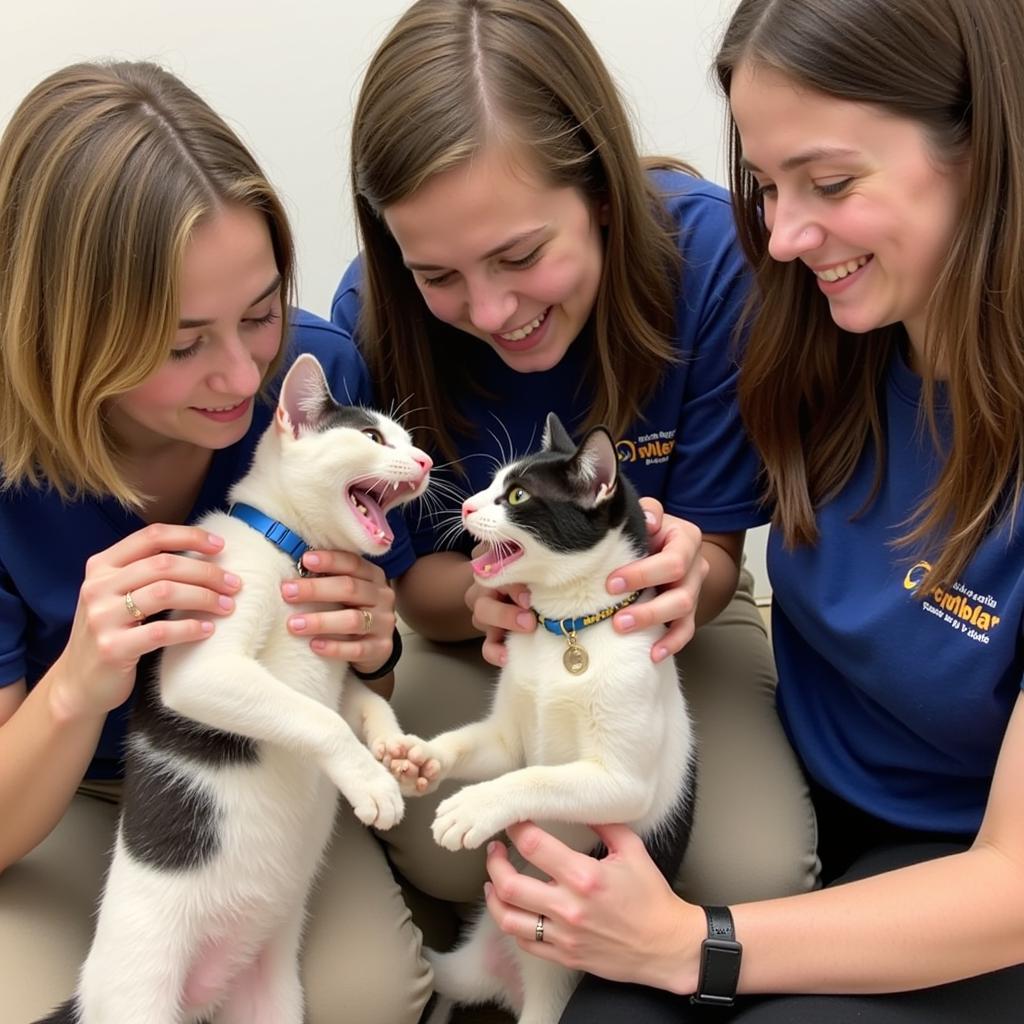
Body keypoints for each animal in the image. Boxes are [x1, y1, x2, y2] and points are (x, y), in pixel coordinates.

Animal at [37, 356, 430, 1024]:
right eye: (373, 438)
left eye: (406, 441)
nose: (426, 460)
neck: (292, 550)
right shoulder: (203, 666)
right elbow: (318, 719)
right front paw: (372, 784)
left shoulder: (337, 666)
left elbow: (362, 700)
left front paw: (396, 753)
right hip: (138, 995)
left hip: (271, 997)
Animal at [385, 411, 696, 1024]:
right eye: (492, 484)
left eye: (518, 496)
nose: (466, 506)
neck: (570, 630)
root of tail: (510, 985)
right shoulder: (508, 736)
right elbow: (485, 749)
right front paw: (421, 759)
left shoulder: (623, 782)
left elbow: (537, 777)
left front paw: (473, 807)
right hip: (465, 966)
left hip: (554, 992)